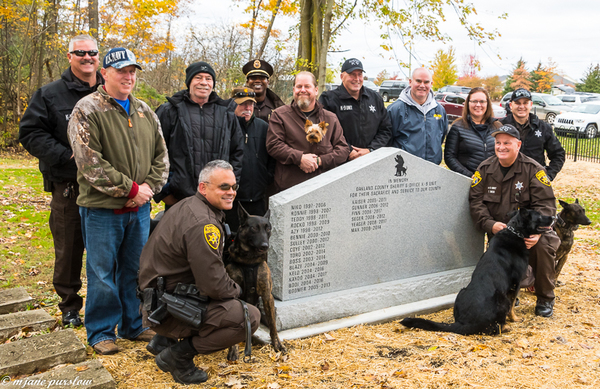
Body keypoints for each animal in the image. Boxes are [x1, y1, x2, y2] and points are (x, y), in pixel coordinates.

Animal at [225, 205, 284, 360]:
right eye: (254, 228)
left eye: (268, 228)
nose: (265, 246)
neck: (249, 261)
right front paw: (233, 349)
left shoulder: (267, 295)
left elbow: (273, 324)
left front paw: (277, 344)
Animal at [400, 208, 556, 334]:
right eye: (540, 215)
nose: (554, 216)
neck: (515, 232)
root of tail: (463, 323)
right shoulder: (515, 284)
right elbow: (512, 306)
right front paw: (515, 319)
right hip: (501, 298)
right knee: (495, 328)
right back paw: (506, 327)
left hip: (461, 291)